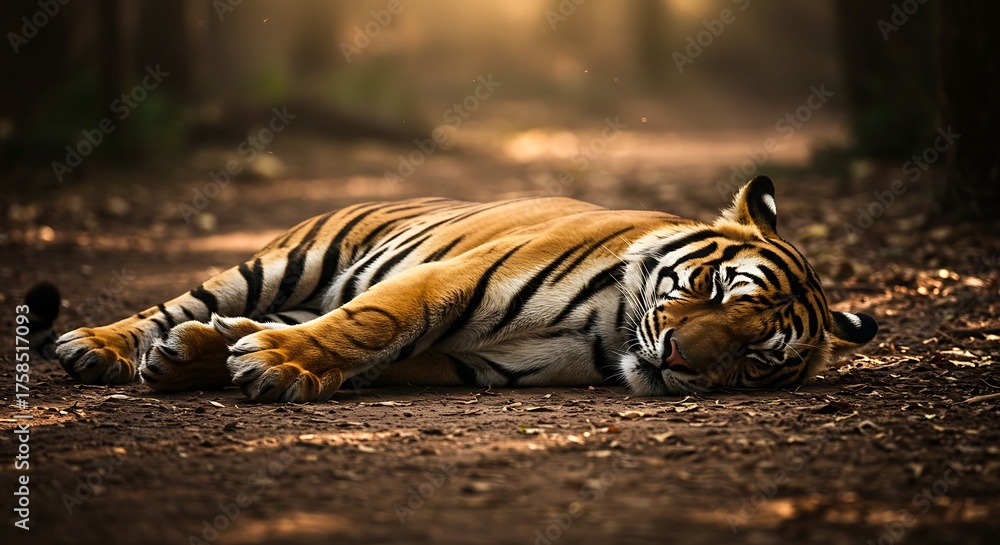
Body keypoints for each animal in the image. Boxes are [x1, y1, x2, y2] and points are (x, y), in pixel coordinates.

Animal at [53, 176, 877, 402]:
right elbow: (370, 324)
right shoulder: (446, 279)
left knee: (238, 319)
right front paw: (277, 365)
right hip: (286, 260)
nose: (677, 358)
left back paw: (187, 352)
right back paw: (98, 346)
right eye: (716, 287)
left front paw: (259, 361)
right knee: (179, 304)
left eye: (754, 356)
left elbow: (372, 352)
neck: (611, 329)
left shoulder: (483, 361)